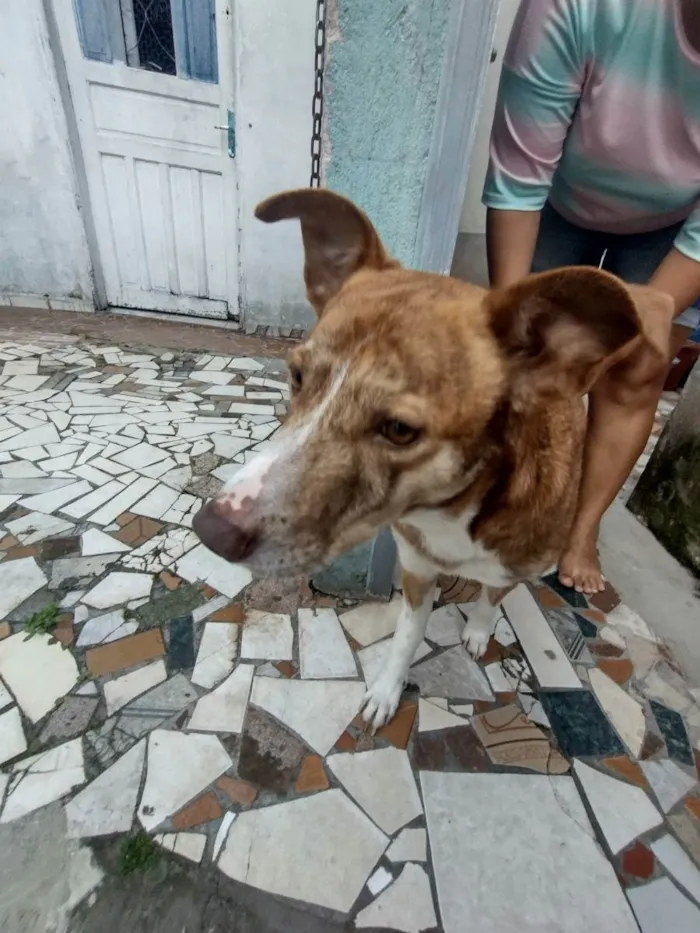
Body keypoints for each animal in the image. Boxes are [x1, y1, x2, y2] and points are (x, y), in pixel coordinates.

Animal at [193, 187, 672, 728]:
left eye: (400, 430)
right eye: (296, 376)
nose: (212, 530)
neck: (451, 514)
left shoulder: (509, 569)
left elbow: (491, 598)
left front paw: (479, 631)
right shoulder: (417, 568)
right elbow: (406, 637)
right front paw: (385, 691)